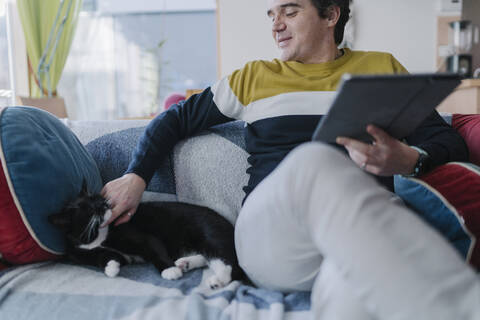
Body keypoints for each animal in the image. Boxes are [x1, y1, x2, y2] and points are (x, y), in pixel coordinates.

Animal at [48, 182, 246, 290]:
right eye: (88, 209)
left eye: (97, 198)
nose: (103, 204)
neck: (96, 237)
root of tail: (230, 224)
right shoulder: (81, 252)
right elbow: (103, 257)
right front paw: (111, 267)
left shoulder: (141, 236)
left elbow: (154, 249)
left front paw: (169, 270)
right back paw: (185, 263)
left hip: (208, 233)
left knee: (228, 262)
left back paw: (217, 280)